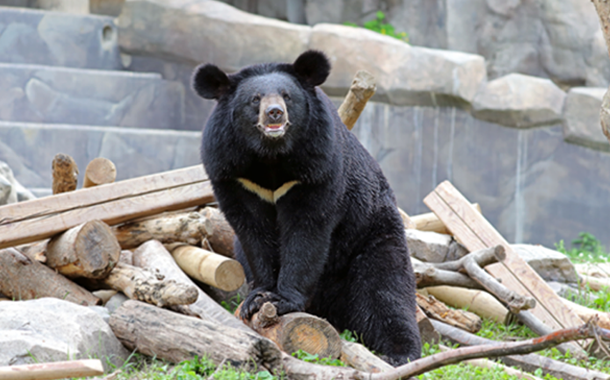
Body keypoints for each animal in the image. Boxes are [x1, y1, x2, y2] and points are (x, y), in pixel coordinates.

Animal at [192, 50, 420, 366]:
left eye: (287, 96)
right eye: (255, 99)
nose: (275, 113)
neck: (271, 156)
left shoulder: (317, 166)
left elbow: (306, 231)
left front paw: (282, 300)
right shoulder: (233, 172)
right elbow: (253, 232)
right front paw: (257, 298)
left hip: (372, 233)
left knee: (386, 289)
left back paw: (400, 353)